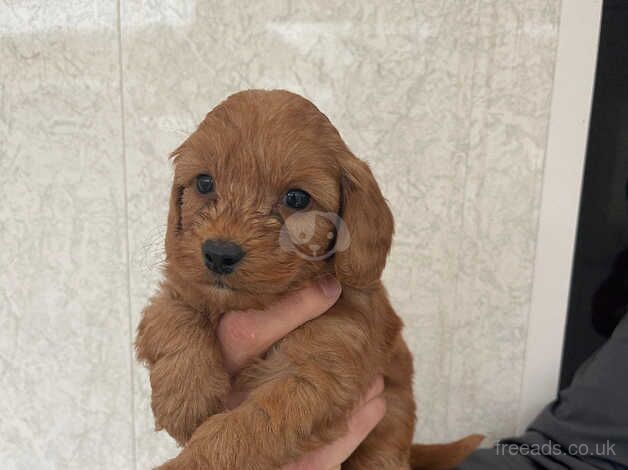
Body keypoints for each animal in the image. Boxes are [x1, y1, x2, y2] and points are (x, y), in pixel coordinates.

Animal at [137, 90, 480, 468]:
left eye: (297, 198)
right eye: (204, 182)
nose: (219, 254)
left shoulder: (318, 375)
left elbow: (248, 427)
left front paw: (197, 459)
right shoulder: (179, 286)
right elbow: (172, 316)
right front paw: (185, 395)